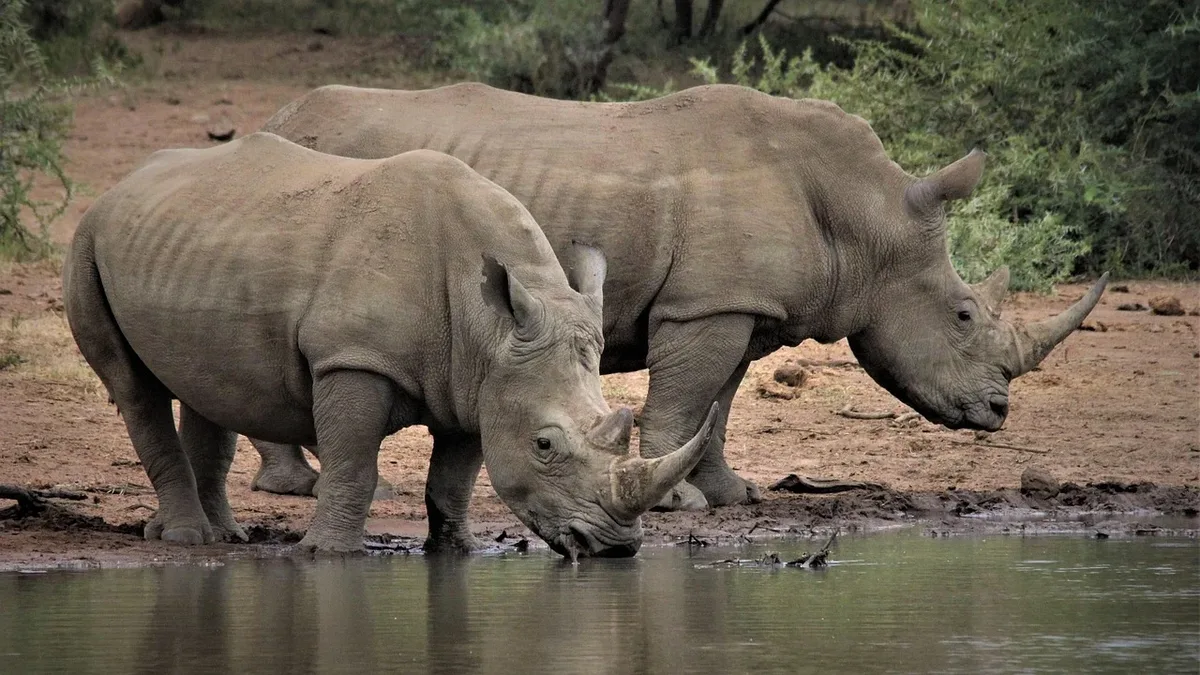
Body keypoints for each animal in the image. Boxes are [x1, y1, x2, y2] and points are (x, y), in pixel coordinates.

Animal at [62, 132, 718, 556]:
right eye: (544, 445)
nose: (616, 548)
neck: (491, 327)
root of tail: (122, 185)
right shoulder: (354, 360)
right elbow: (354, 463)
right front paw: (329, 554)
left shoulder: (478, 380)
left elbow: (454, 478)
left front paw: (455, 551)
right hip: (87, 239)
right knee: (133, 387)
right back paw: (187, 539)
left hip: (191, 243)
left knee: (208, 386)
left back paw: (222, 537)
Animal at [255, 82, 1108, 511]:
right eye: (962, 316)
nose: (998, 411)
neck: (865, 216)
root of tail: (281, 114)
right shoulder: (708, 304)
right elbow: (687, 395)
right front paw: (677, 505)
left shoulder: (740, 303)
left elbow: (718, 403)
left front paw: (731, 493)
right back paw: (301, 486)